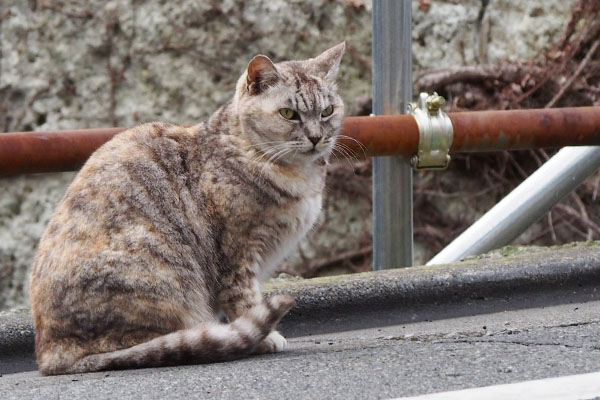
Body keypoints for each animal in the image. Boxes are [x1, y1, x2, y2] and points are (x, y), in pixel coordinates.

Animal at [29, 43, 346, 376]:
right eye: (289, 114)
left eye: (327, 111)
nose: (316, 137)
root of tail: (50, 354)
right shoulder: (238, 253)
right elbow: (244, 299)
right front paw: (265, 336)